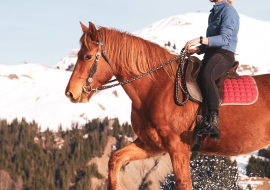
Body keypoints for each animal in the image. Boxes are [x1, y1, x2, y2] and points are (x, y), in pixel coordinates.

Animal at [65, 21, 270, 189]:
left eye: (88, 57)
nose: (70, 93)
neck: (157, 88)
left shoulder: (178, 147)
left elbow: (183, 183)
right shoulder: (151, 145)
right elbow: (115, 159)